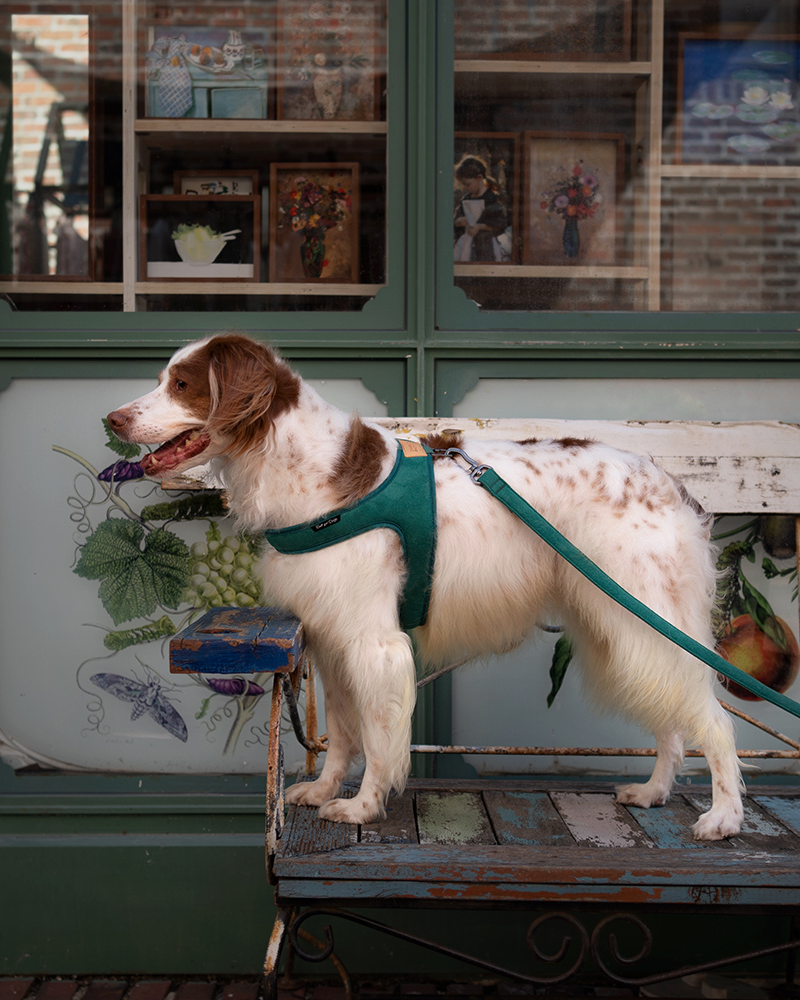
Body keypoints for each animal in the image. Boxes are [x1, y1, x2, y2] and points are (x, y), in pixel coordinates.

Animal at [108, 332, 744, 840]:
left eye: (182, 383)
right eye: (165, 378)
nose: (112, 420)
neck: (305, 473)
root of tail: (671, 483)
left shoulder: (375, 643)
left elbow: (378, 735)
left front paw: (362, 807)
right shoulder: (331, 637)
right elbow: (342, 732)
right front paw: (324, 791)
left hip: (644, 621)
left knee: (711, 717)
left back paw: (723, 817)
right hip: (626, 627)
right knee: (672, 717)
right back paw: (654, 792)